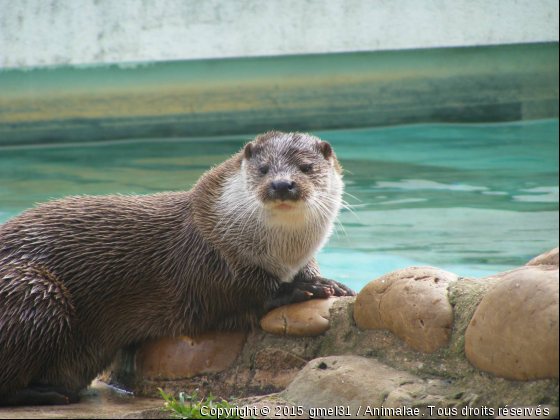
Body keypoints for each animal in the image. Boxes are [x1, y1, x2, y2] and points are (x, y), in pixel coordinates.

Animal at [0, 130, 354, 404]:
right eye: (264, 169)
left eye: (306, 167)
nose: (282, 184)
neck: (280, 255)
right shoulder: (207, 262)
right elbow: (241, 293)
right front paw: (303, 288)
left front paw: (329, 282)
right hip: (32, 291)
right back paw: (47, 394)